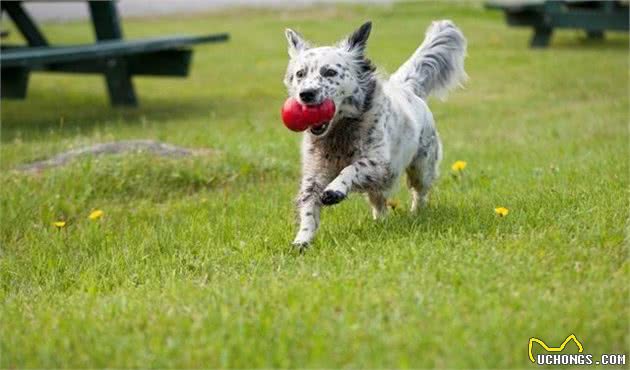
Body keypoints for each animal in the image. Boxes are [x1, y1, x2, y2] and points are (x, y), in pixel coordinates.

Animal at [284, 20, 466, 249]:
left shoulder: (380, 165)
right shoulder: (315, 172)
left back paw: (417, 213)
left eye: (329, 72)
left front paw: (335, 190)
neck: (340, 133)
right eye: (300, 74)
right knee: (379, 204)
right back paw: (381, 222)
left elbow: (351, 169)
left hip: (422, 167)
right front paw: (302, 240)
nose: (306, 94)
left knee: (420, 192)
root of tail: (407, 88)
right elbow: (309, 206)